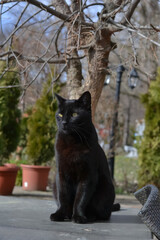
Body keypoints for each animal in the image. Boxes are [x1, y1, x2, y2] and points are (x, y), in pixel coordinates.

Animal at [50, 90, 119, 223]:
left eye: (74, 114)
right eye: (60, 115)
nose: (64, 123)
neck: (72, 141)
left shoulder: (88, 175)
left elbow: (81, 198)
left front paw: (78, 217)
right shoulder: (61, 173)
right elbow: (63, 196)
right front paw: (60, 214)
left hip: (106, 189)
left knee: (103, 214)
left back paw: (91, 216)